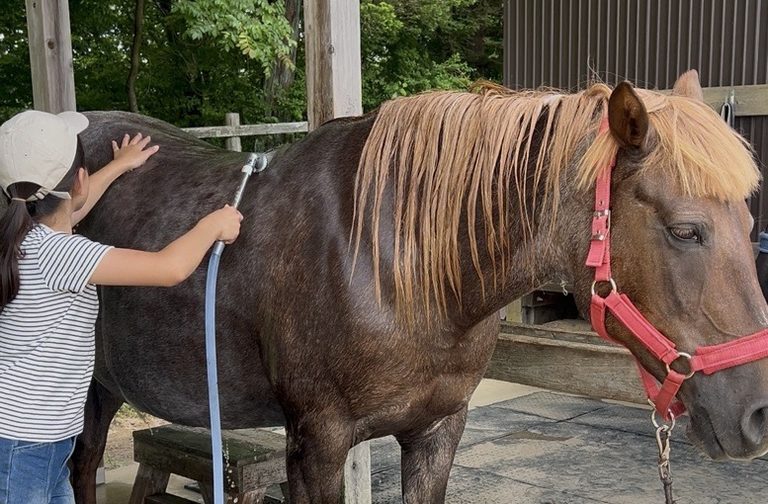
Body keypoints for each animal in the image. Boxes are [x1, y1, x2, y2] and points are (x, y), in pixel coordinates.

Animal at [69, 70, 768, 503]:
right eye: (685, 231)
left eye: (749, 224)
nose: (758, 414)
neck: (391, 267)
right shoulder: (317, 444)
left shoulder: (437, 431)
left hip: (97, 390)